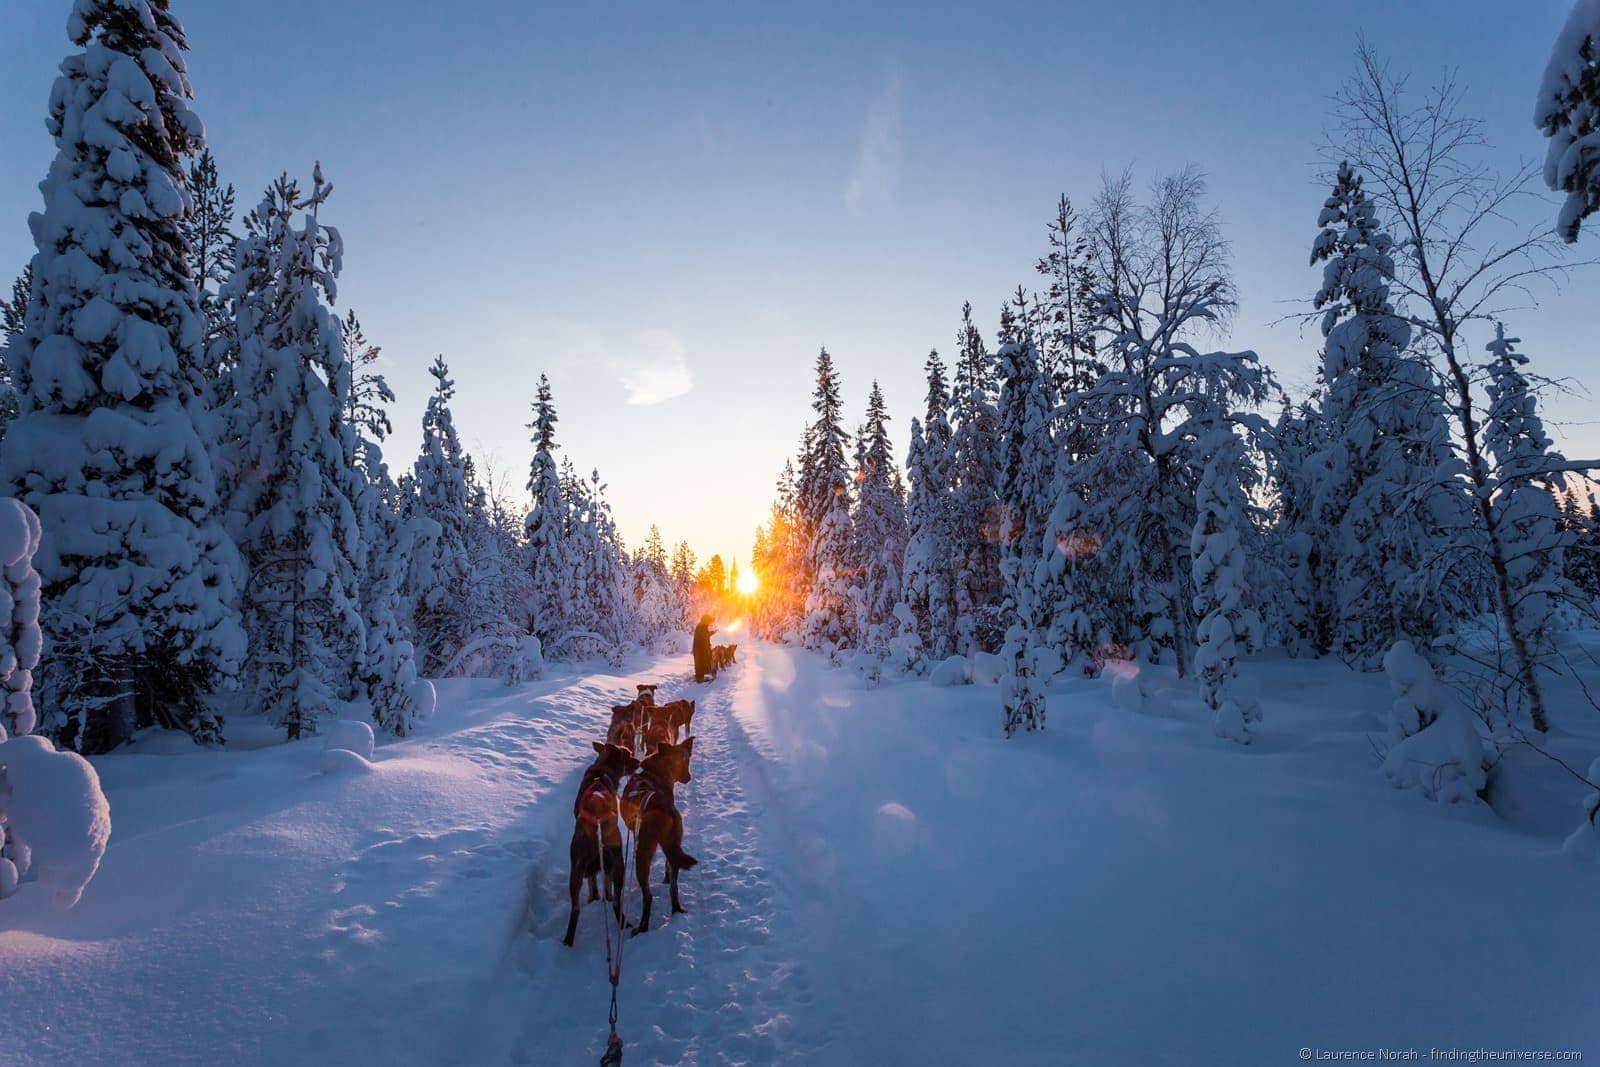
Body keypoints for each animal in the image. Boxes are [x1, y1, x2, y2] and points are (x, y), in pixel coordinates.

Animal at [563, 748, 636, 947]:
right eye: (628, 754)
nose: (639, 762)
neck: (601, 771)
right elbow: (602, 883)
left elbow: (595, 881)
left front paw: (595, 896)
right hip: (617, 863)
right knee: (616, 902)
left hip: (577, 869)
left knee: (575, 909)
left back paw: (568, 941)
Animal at [620, 735, 697, 934]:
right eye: (683, 761)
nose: (688, 777)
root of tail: (665, 809)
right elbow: (668, 867)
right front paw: (666, 877)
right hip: (672, 845)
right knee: (674, 888)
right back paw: (676, 909)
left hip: (642, 856)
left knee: (648, 897)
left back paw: (642, 927)